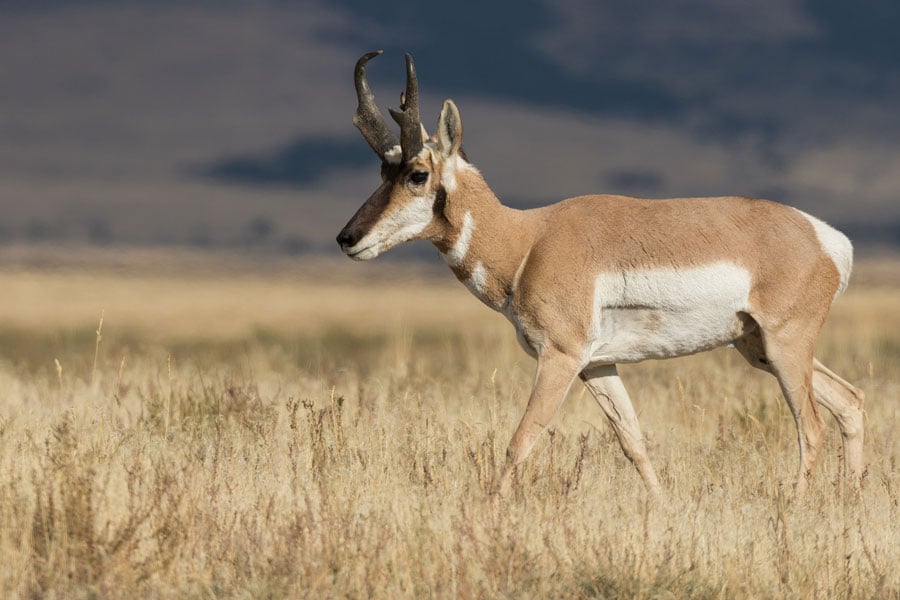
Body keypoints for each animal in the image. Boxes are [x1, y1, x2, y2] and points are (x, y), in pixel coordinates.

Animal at [336, 51, 866, 500]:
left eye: (417, 175)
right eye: (382, 173)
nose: (347, 238)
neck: (528, 240)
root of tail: (824, 237)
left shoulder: (560, 357)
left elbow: (521, 438)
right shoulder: (598, 364)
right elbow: (633, 441)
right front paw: (661, 509)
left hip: (784, 345)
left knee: (812, 426)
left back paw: (795, 507)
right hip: (756, 347)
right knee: (850, 402)